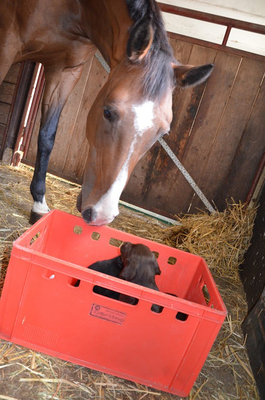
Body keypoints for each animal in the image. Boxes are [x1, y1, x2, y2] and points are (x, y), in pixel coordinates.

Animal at [0, 0, 212, 225]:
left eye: (163, 133)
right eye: (108, 112)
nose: (102, 214)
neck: (76, 10)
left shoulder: (66, 71)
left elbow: (47, 137)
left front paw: (39, 204)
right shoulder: (6, 49)